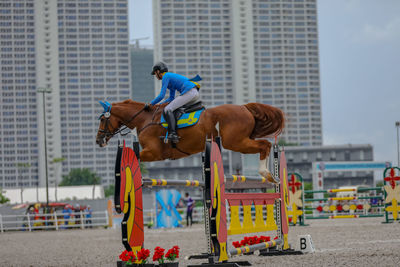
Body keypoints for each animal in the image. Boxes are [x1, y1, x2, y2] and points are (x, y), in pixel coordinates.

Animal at [96, 100, 284, 184]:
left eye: (102, 120)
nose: (98, 141)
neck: (144, 120)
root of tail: (245, 108)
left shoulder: (155, 153)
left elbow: (136, 156)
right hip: (241, 140)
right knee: (265, 145)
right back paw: (272, 176)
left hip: (236, 142)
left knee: (265, 145)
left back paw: (267, 173)